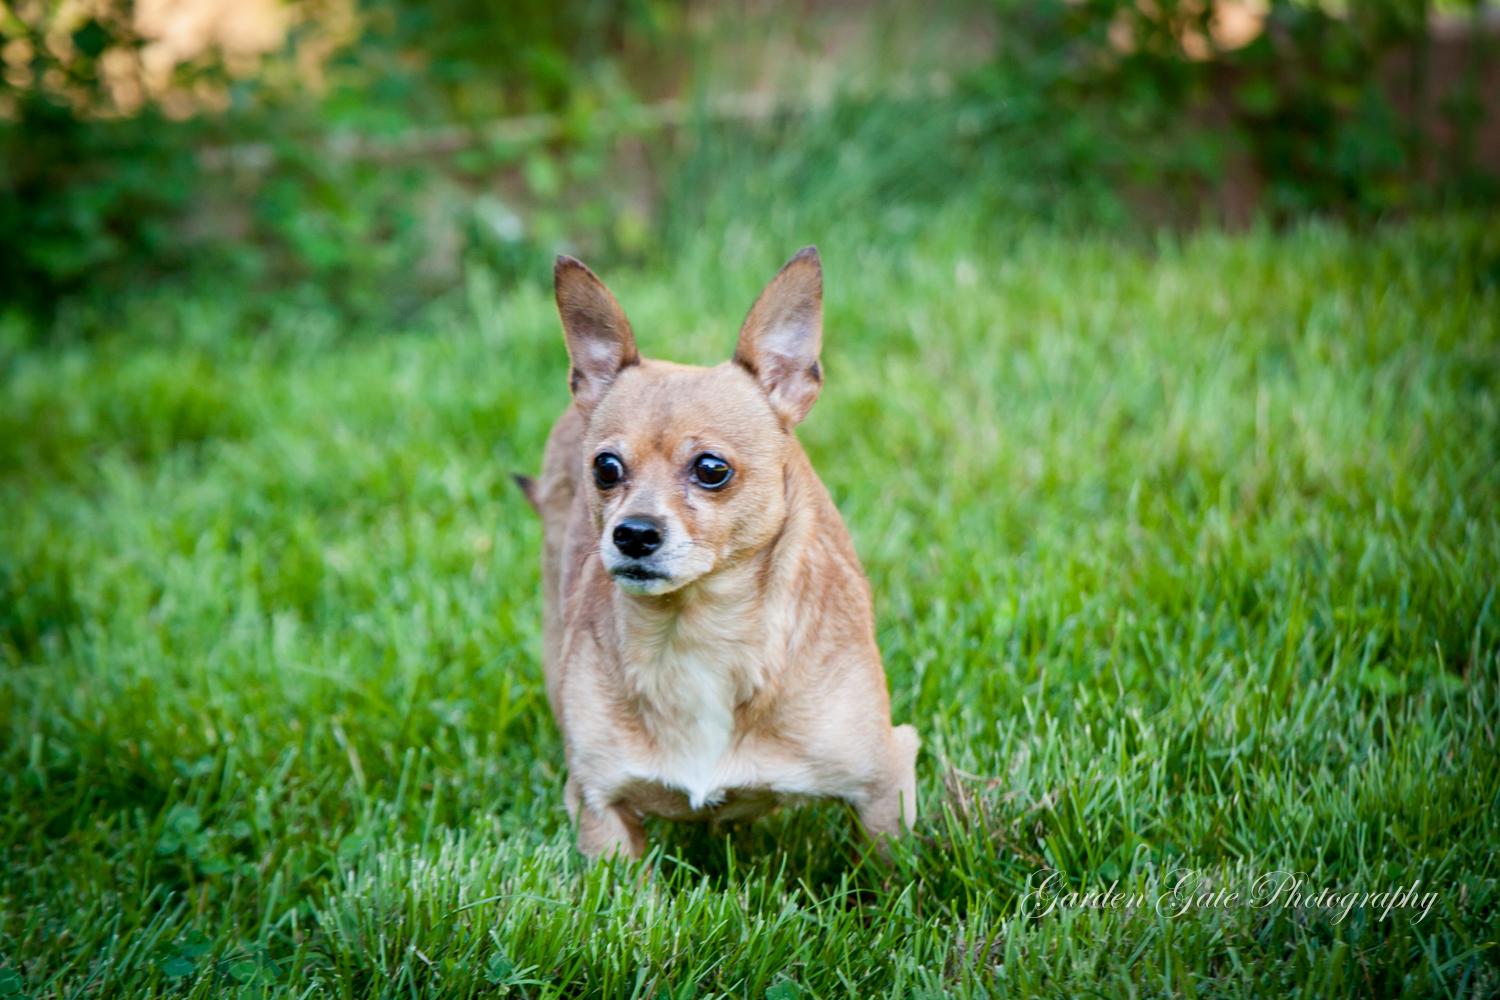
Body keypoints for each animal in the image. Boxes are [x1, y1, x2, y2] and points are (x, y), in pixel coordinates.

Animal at [522, 250, 918, 863]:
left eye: (712, 469)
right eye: (605, 468)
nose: (633, 534)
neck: (691, 636)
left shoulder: (885, 784)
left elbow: (893, 873)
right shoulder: (599, 805)